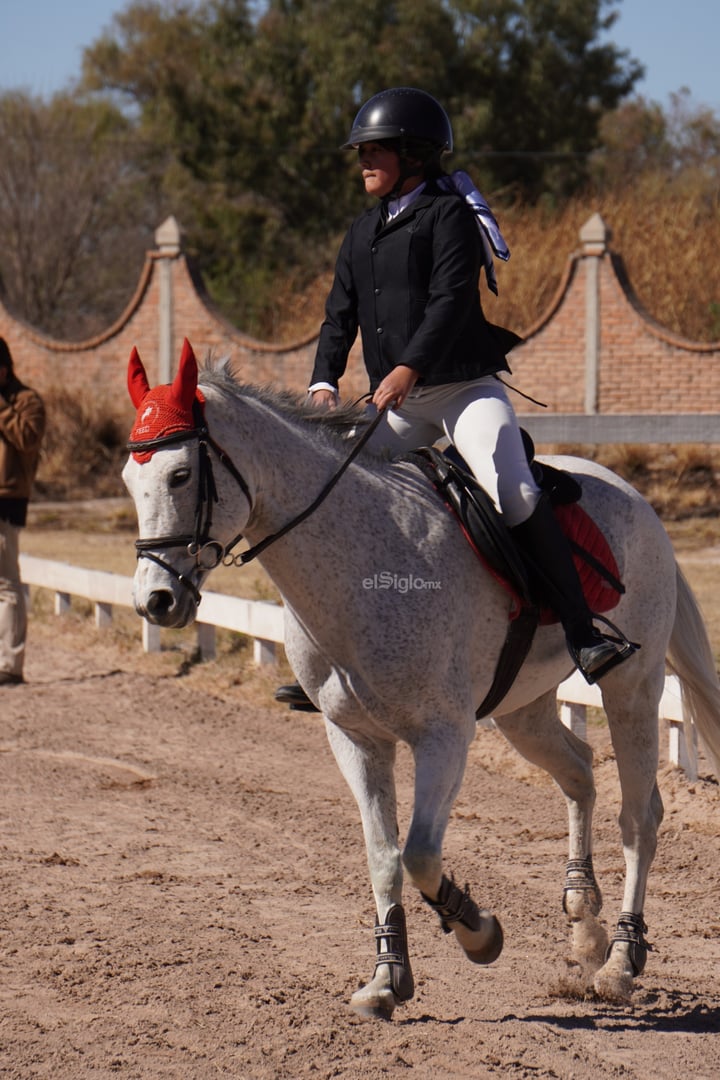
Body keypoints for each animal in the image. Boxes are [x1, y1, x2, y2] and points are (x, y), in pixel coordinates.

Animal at [122, 339, 720, 1019]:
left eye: (178, 476)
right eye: (130, 481)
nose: (156, 602)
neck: (359, 560)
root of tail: (633, 495)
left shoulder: (443, 737)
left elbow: (420, 854)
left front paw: (478, 932)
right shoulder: (355, 738)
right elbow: (383, 856)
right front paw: (388, 977)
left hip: (632, 688)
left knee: (639, 816)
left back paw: (620, 961)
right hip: (523, 709)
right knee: (578, 769)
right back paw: (584, 922)